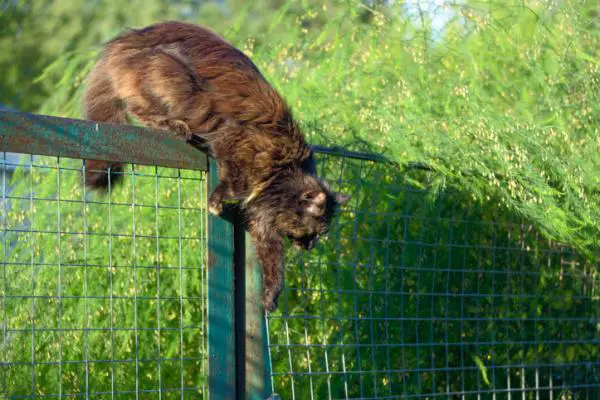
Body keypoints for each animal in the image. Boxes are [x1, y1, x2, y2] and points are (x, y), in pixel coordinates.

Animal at [82, 20, 350, 310]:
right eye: (313, 231)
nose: (309, 246)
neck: (284, 173)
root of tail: (126, 39)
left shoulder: (262, 222)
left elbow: (273, 264)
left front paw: (270, 297)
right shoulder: (235, 144)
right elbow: (232, 184)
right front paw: (215, 203)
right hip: (171, 76)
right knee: (137, 108)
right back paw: (175, 126)